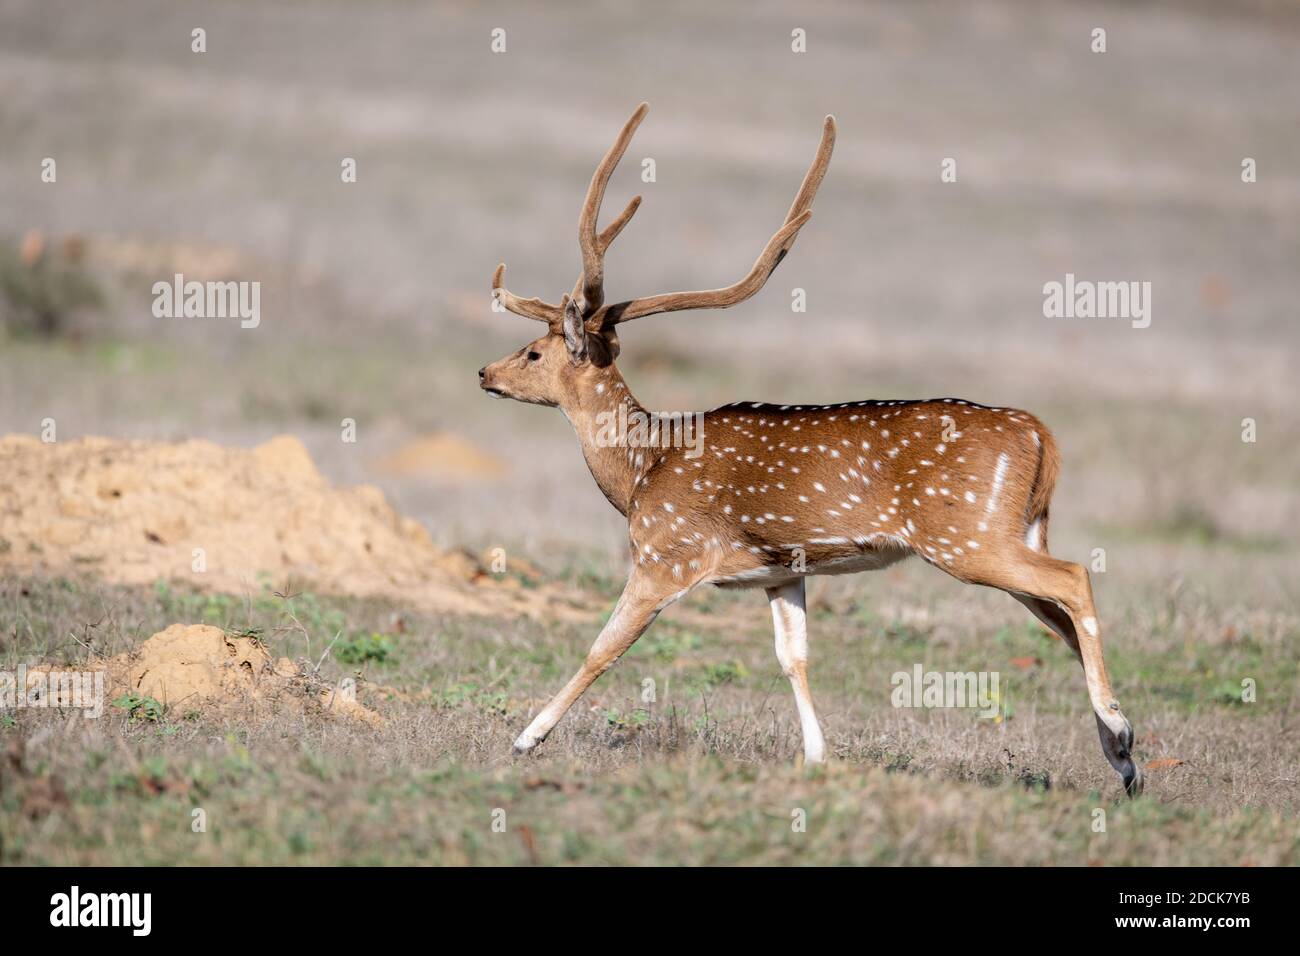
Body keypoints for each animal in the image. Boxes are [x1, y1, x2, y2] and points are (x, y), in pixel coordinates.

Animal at [478, 102, 1138, 790]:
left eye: (533, 353)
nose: (485, 373)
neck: (639, 472)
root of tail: (1040, 434)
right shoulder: (781, 570)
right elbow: (793, 656)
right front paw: (819, 755)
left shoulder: (666, 553)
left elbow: (603, 646)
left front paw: (526, 738)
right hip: (1019, 528)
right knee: (1062, 616)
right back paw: (1123, 758)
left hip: (967, 535)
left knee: (1075, 577)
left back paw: (1120, 731)